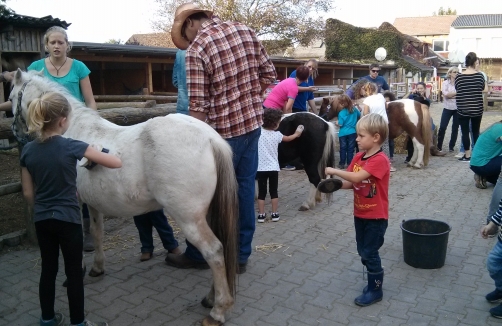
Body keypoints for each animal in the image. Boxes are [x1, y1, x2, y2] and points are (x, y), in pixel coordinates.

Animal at [9, 70, 237, 324]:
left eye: (10, 98)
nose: (15, 133)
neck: (73, 130)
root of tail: (210, 139)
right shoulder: (93, 203)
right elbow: (96, 233)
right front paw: (97, 268)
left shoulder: (75, 202)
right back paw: (211, 298)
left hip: (189, 219)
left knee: (214, 251)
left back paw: (218, 310)